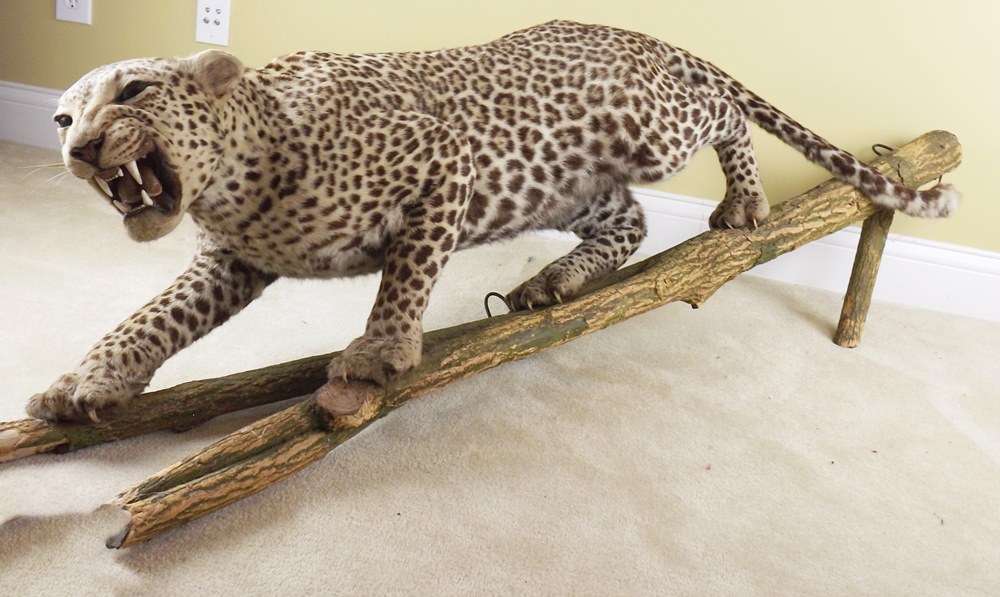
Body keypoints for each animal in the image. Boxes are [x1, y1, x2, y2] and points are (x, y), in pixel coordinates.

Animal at [27, 20, 959, 422]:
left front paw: (380, 352)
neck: (238, 181)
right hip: (570, 185)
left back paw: (742, 202)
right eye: (64, 116)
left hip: (651, 127)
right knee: (629, 221)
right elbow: (153, 316)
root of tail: (635, 32)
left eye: (134, 89)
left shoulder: (443, 163)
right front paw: (85, 382)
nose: (80, 146)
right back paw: (559, 278)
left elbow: (405, 272)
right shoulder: (230, 261)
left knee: (722, 111)